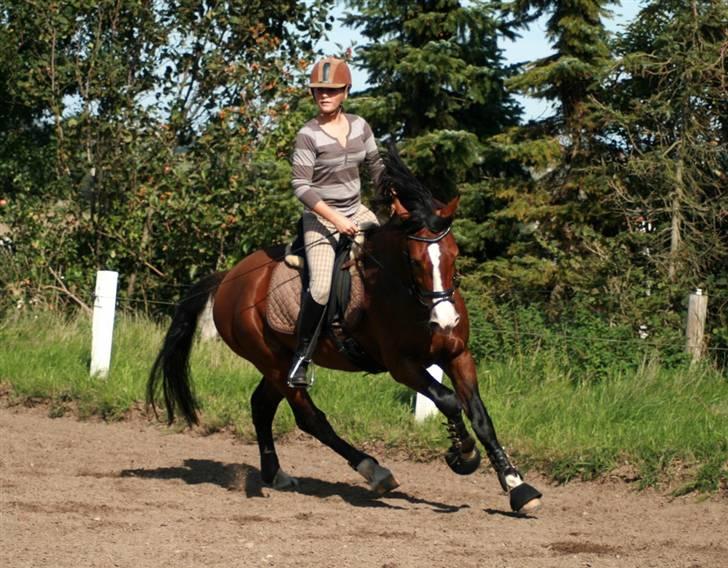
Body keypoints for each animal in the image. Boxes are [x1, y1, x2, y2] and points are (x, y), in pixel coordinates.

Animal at [148, 146, 544, 516]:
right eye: (414, 261)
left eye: (454, 254)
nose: (444, 320)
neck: (406, 292)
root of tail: (229, 279)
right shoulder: (403, 366)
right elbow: (448, 400)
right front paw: (462, 455)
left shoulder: (457, 354)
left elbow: (480, 416)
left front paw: (517, 486)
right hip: (272, 362)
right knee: (310, 418)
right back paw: (373, 470)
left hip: (278, 364)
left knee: (261, 405)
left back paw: (276, 474)